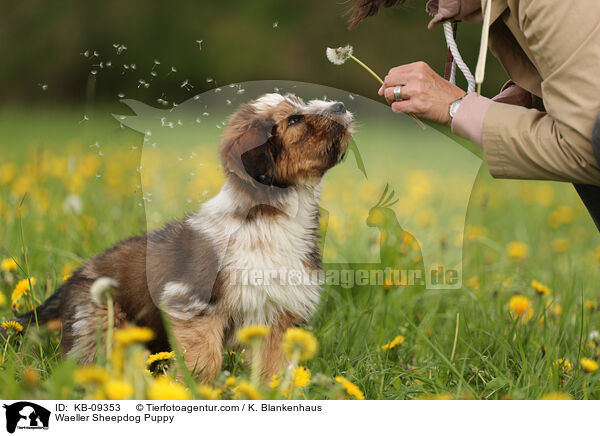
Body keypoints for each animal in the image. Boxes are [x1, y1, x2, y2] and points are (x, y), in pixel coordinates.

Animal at [9, 93, 352, 380]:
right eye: (293, 120)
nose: (341, 106)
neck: (270, 217)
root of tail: (68, 284)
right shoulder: (191, 303)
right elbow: (205, 358)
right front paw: (191, 388)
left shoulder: (277, 315)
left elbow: (276, 368)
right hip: (101, 320)